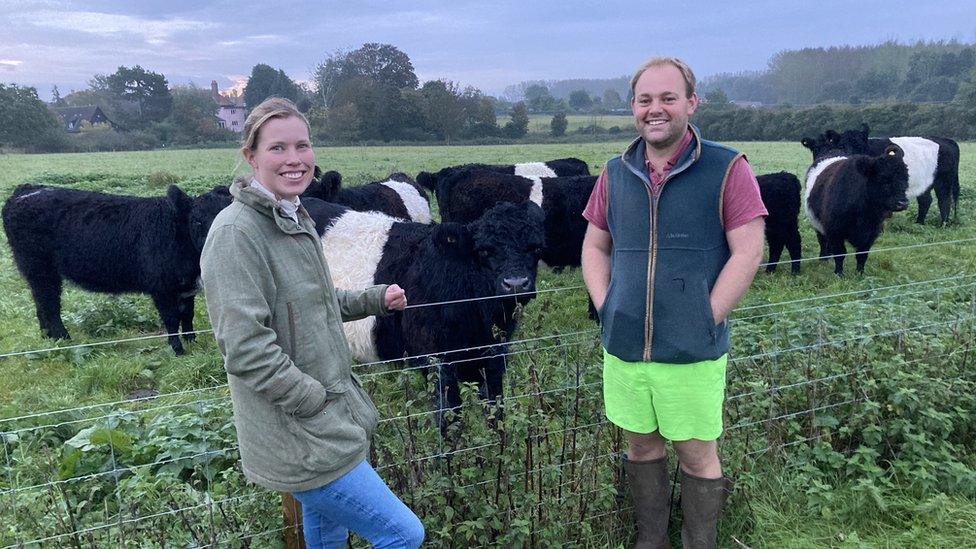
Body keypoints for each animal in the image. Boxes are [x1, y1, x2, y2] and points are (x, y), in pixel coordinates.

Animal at [2, 185, 231, 356]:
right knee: (49, 304)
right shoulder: (161, 287)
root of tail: (26, 191)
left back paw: (48, 338)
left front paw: (192, 341)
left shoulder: (185, 286)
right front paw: (178, 350)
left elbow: (187, 315)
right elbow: (172, 318)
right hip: (39, 268)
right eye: (197, 221)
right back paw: (63, 338)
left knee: (41, 304)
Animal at [804, 146, 912, 274]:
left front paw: (860, 273)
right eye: (883, 177)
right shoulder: (835, 230)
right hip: (817, 223)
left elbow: (862, 255)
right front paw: (839, 273)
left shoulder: (871, 233)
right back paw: (823, 258)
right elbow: (840, 253)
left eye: (906, 178)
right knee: (822, 240)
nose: (903, 203)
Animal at [832, 123, 960, 225]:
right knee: (926, 200)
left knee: (944, 200)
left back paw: (942, 224)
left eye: (859, 145)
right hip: (925, 182)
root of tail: (947, 140)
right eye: (841, 146)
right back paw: (919, 223)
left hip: (943, 180)